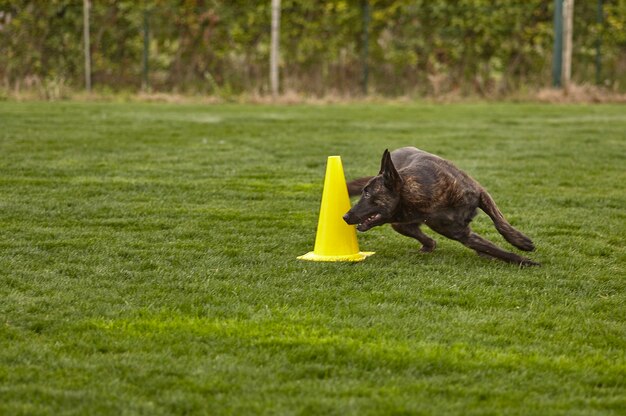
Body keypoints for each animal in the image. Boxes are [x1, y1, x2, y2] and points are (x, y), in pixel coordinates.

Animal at [342, 148, 536, 266]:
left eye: (367, 194)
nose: (345, 216)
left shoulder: (481, 193)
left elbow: (500, 222)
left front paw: (521, 242)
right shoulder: (462, 234)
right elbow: (496, 249)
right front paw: (525, 261)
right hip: (399, 224)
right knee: (422, 236)